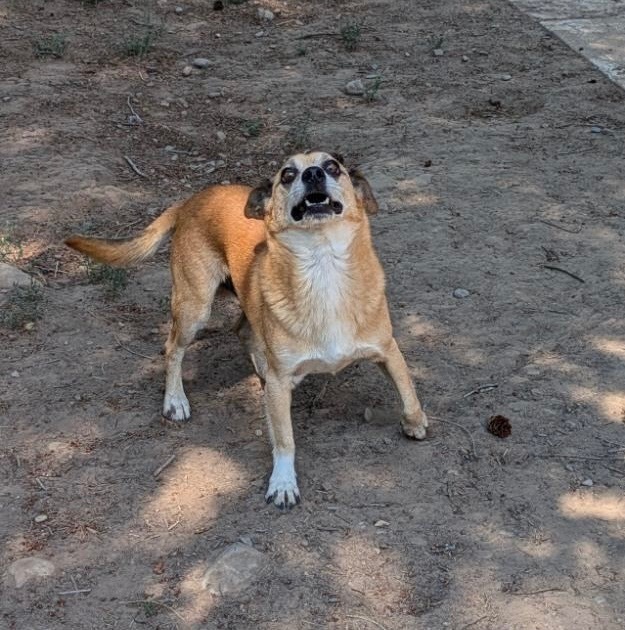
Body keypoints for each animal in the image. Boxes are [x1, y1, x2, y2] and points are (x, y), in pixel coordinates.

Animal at [67, 152, 428, 508]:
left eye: (333, 166)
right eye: (287, 174)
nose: (312, 174)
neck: (323, 265)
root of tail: (193, 199)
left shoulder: (388, 349)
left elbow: (409, 393)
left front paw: (415, 422)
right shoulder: (281, 384)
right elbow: (284, 440)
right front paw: (283, 482)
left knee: (241, 329)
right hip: (194, 308)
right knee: (173, 349)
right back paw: (175, 401)